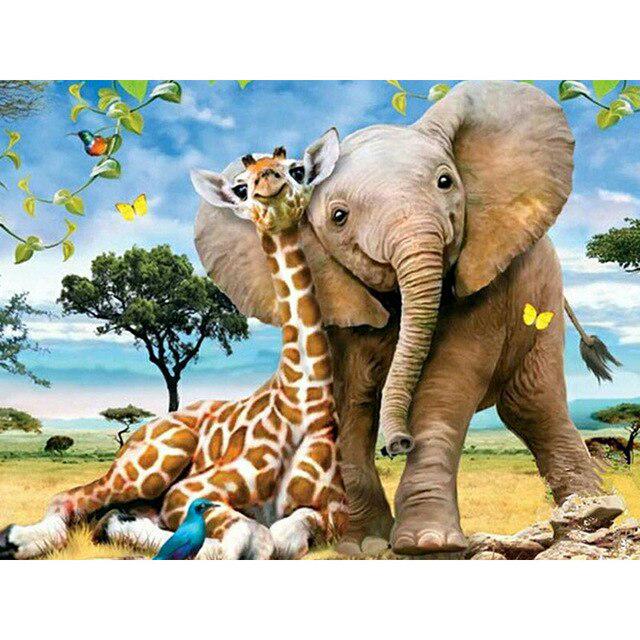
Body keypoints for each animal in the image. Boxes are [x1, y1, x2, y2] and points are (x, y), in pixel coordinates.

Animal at [0, 129, 347, 560]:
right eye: (241, 187)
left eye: (297, 170)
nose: (269, 181)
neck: (302, 400)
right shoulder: (187, 492)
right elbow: (253, 538)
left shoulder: (336, 510)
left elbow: (284, 534)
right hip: (155, 461)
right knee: (71, 498)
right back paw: (15, 538)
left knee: (111, 514)